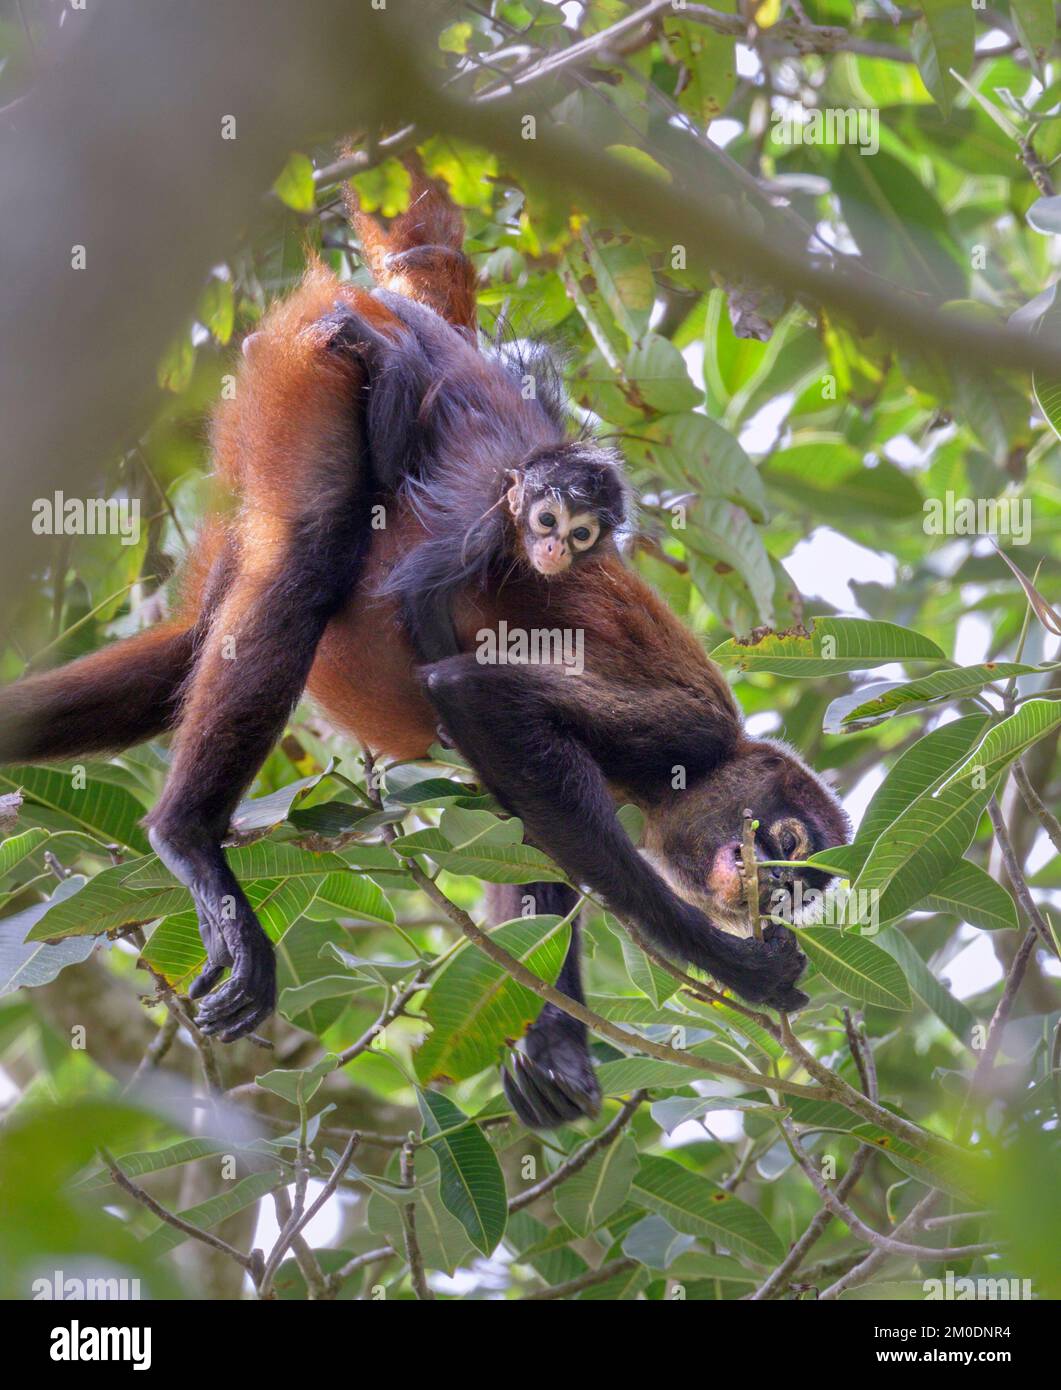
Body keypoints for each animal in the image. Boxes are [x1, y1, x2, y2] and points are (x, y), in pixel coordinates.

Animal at [328, 287, 631, 661]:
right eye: (546, 520)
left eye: (581, 535)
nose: (554, 550)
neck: (518, 472)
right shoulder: (481, 527)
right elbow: (419, 593)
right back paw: (387, 353)